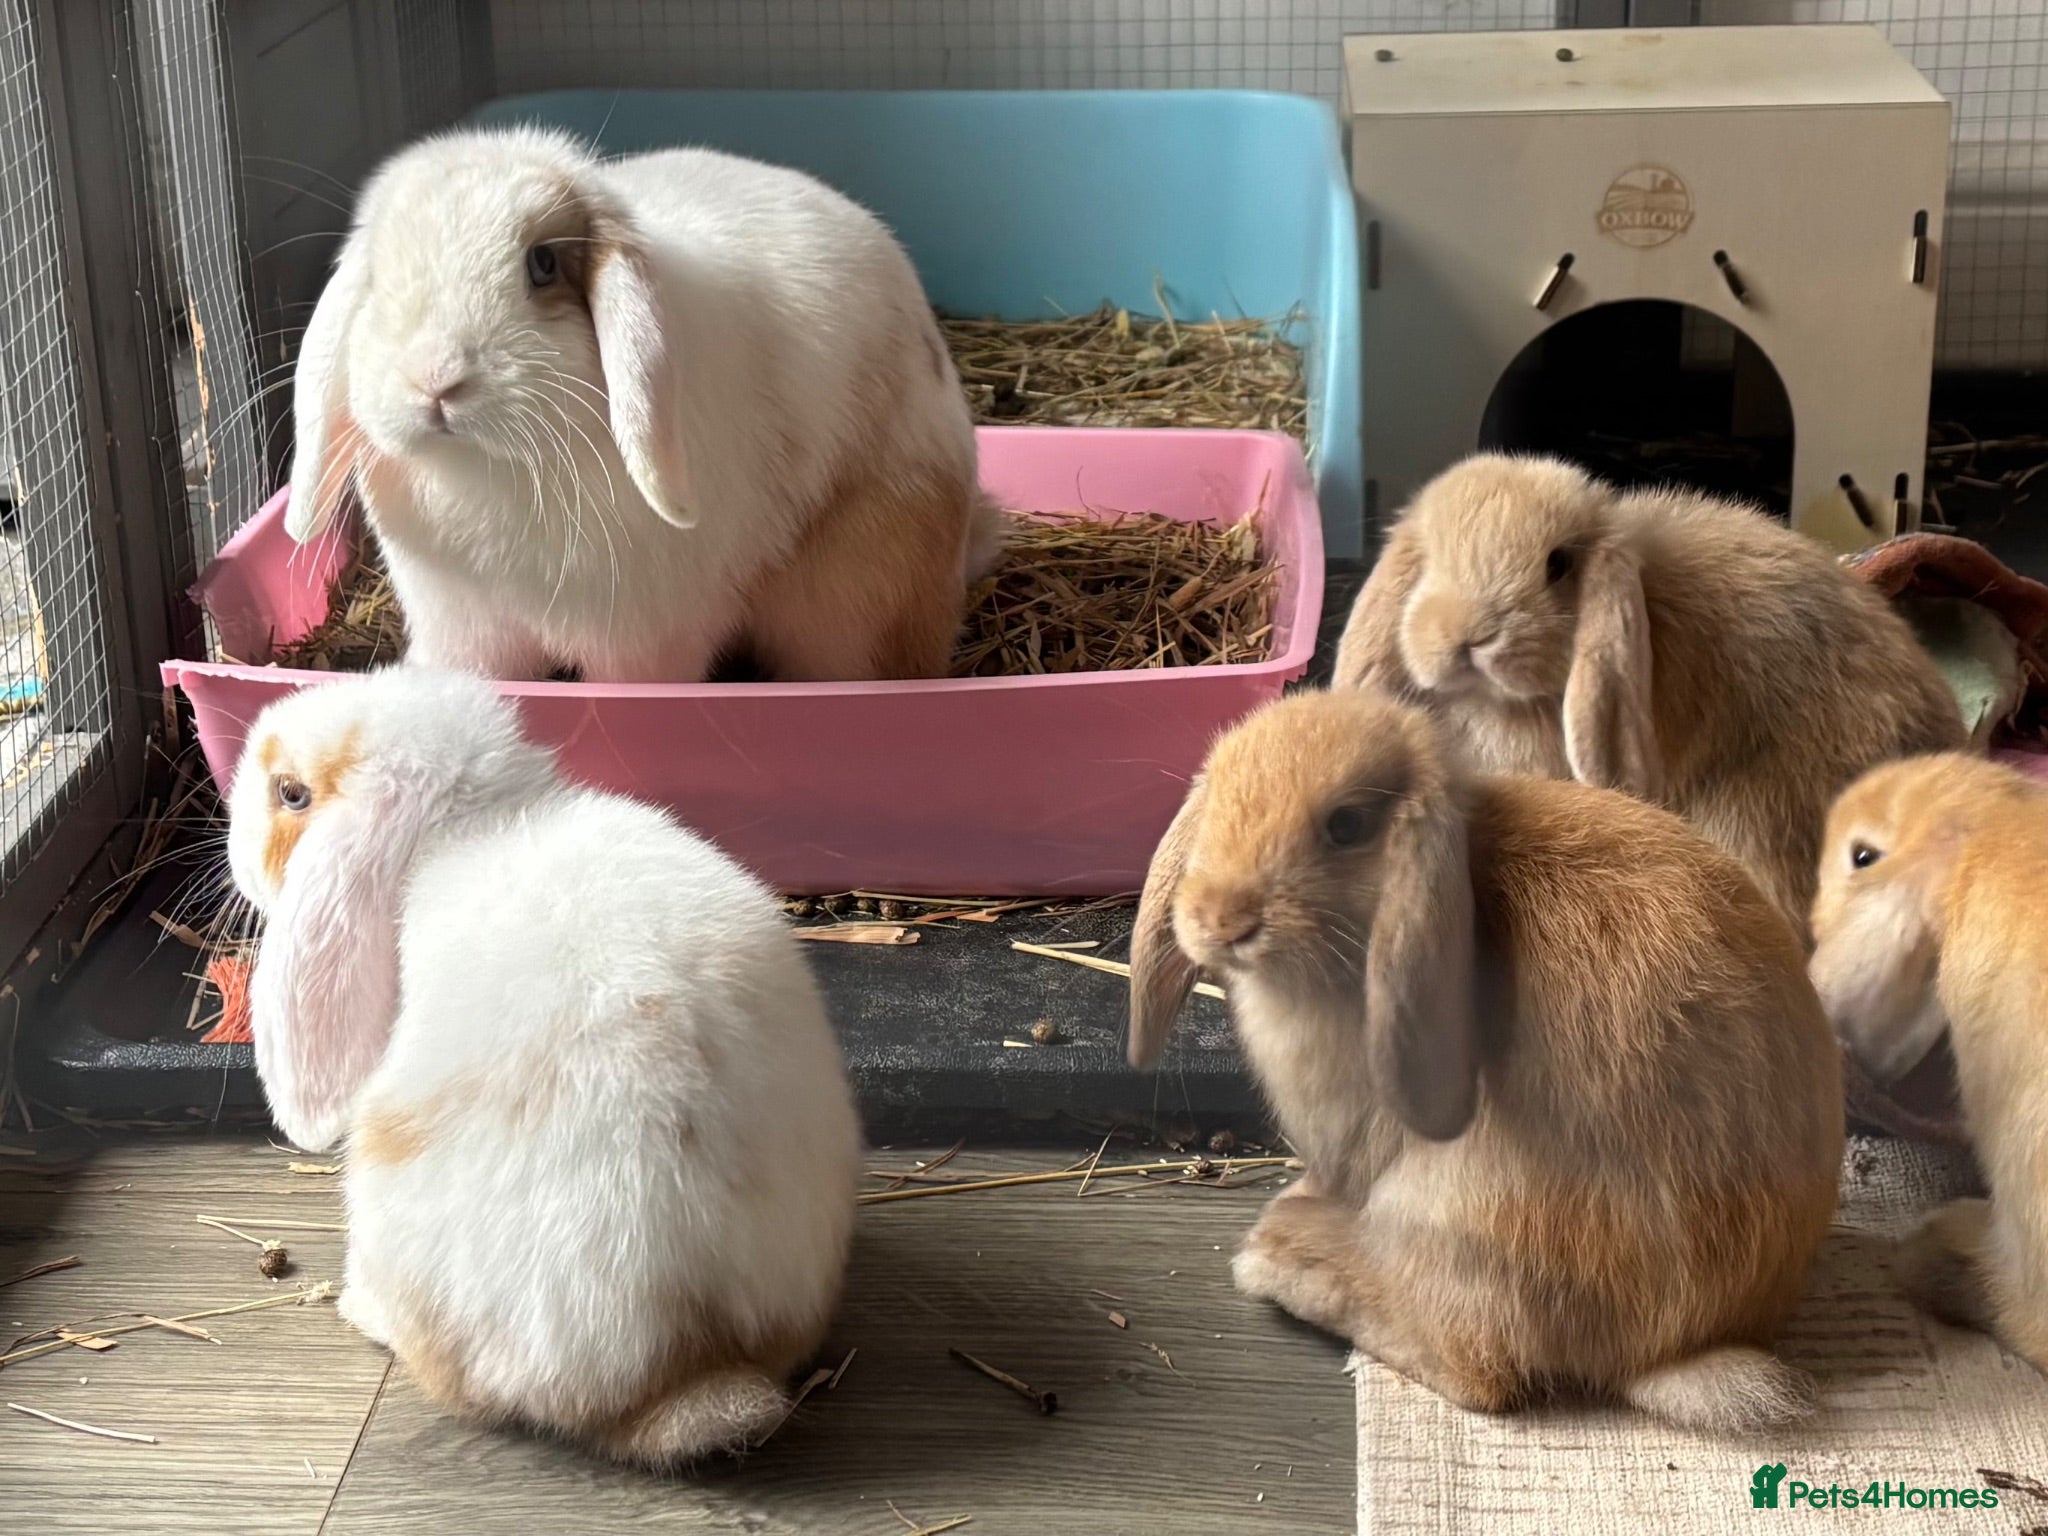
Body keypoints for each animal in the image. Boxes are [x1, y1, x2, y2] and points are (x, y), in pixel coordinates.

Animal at [287, 124, 1003, 685]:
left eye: (543, 264)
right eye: (378, 277)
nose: (433, 380)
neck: (491, 472)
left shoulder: (646, 640)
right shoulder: (464, 626)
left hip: (854, 600)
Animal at [1129, 689, 1844, 1431]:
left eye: (1347, 825)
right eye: (1216, 799)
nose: (1221, 919)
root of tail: (1677, 1349)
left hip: (1462, 1218)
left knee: (1478, 1371)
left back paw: (1280, 1252)